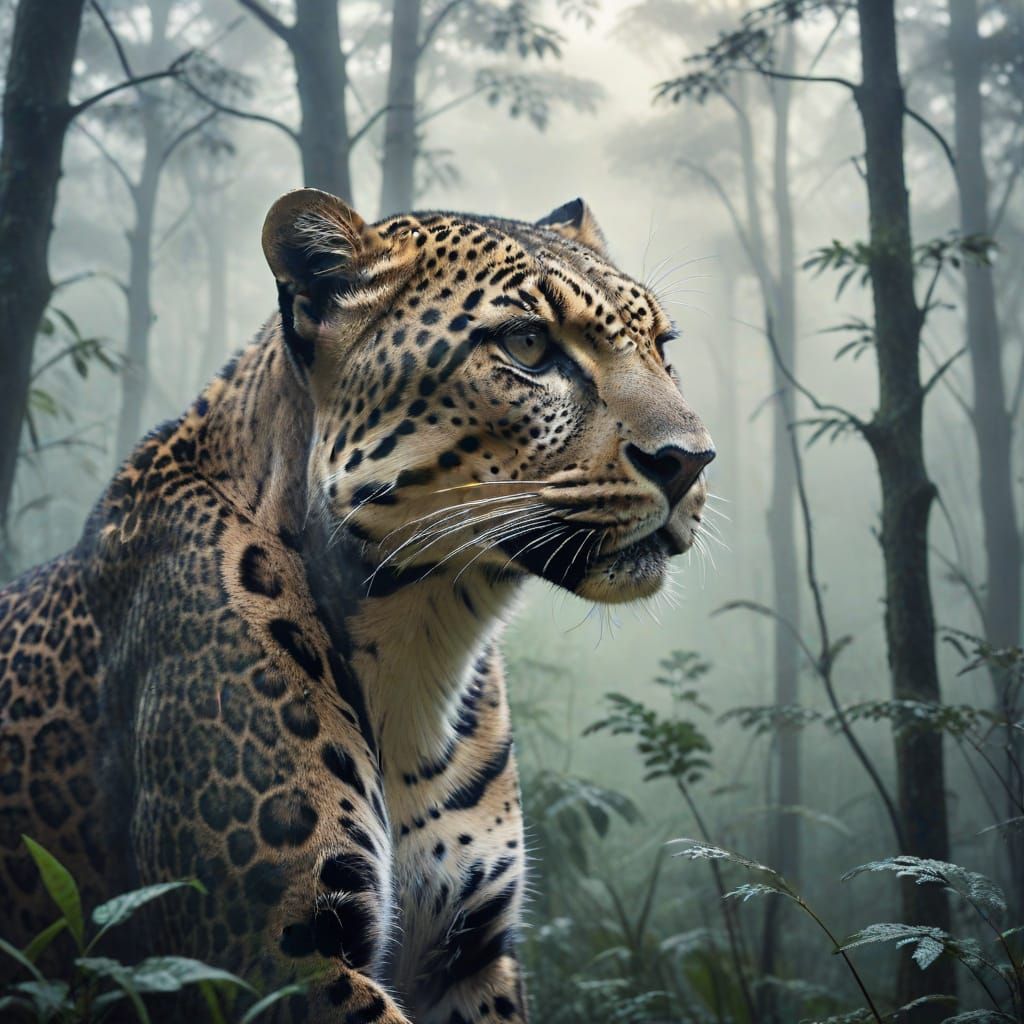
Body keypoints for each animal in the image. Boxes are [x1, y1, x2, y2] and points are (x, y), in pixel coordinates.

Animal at [0, 188, 715, 1022]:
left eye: (663, 346)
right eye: (529, 345)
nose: (691, 460)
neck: (424, 634)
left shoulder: (470, 953)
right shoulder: (276, 959)